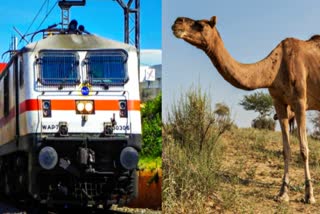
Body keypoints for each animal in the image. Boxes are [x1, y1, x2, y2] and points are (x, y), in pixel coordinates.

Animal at [172, 15, 320, 203]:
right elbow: (286, 150)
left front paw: (309, 195)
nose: (177, 22)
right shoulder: (278, 102)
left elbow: (304, 149)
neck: (275, 68)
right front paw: (282, 193)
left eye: (200, 25)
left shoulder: (300, 101)